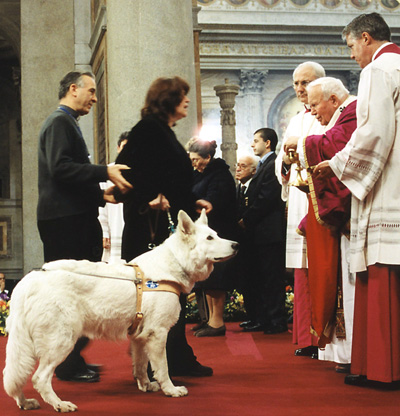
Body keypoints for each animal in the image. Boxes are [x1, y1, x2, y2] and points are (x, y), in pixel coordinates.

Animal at [3, 211, 239, 412]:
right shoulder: (158, 334)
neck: (173, 265)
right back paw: (59, 404)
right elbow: (163, 368)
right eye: (209, 238)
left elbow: (141, 366)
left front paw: (146, 385)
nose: (236, 244)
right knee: (39, 378)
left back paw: (25, 402)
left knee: (14, 375)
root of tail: (27, 281)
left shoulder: (140, 337)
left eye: (217, 235)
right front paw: (170, 390)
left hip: (28, 346)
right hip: (61, 342)